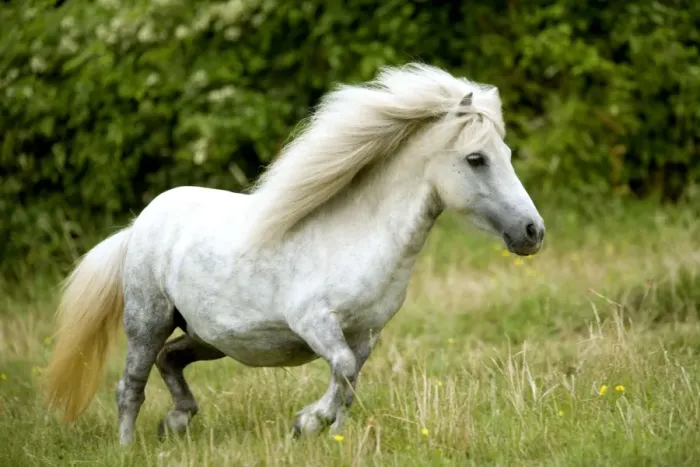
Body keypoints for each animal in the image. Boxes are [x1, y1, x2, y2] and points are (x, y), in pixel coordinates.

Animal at [43, 62, 545, 445]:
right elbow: (342, 369)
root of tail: (140, 224)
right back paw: (129, 446)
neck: (357, 238)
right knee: (130, 386)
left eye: (507, 152)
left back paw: (177, 421)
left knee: (170, 360)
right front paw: (306, 423)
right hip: (148, 321)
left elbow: (350, 381)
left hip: (209, 337)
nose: (532, 232)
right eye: (477, 158)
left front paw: (331, 432)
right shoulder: (315, 321)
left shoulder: (367, 333)